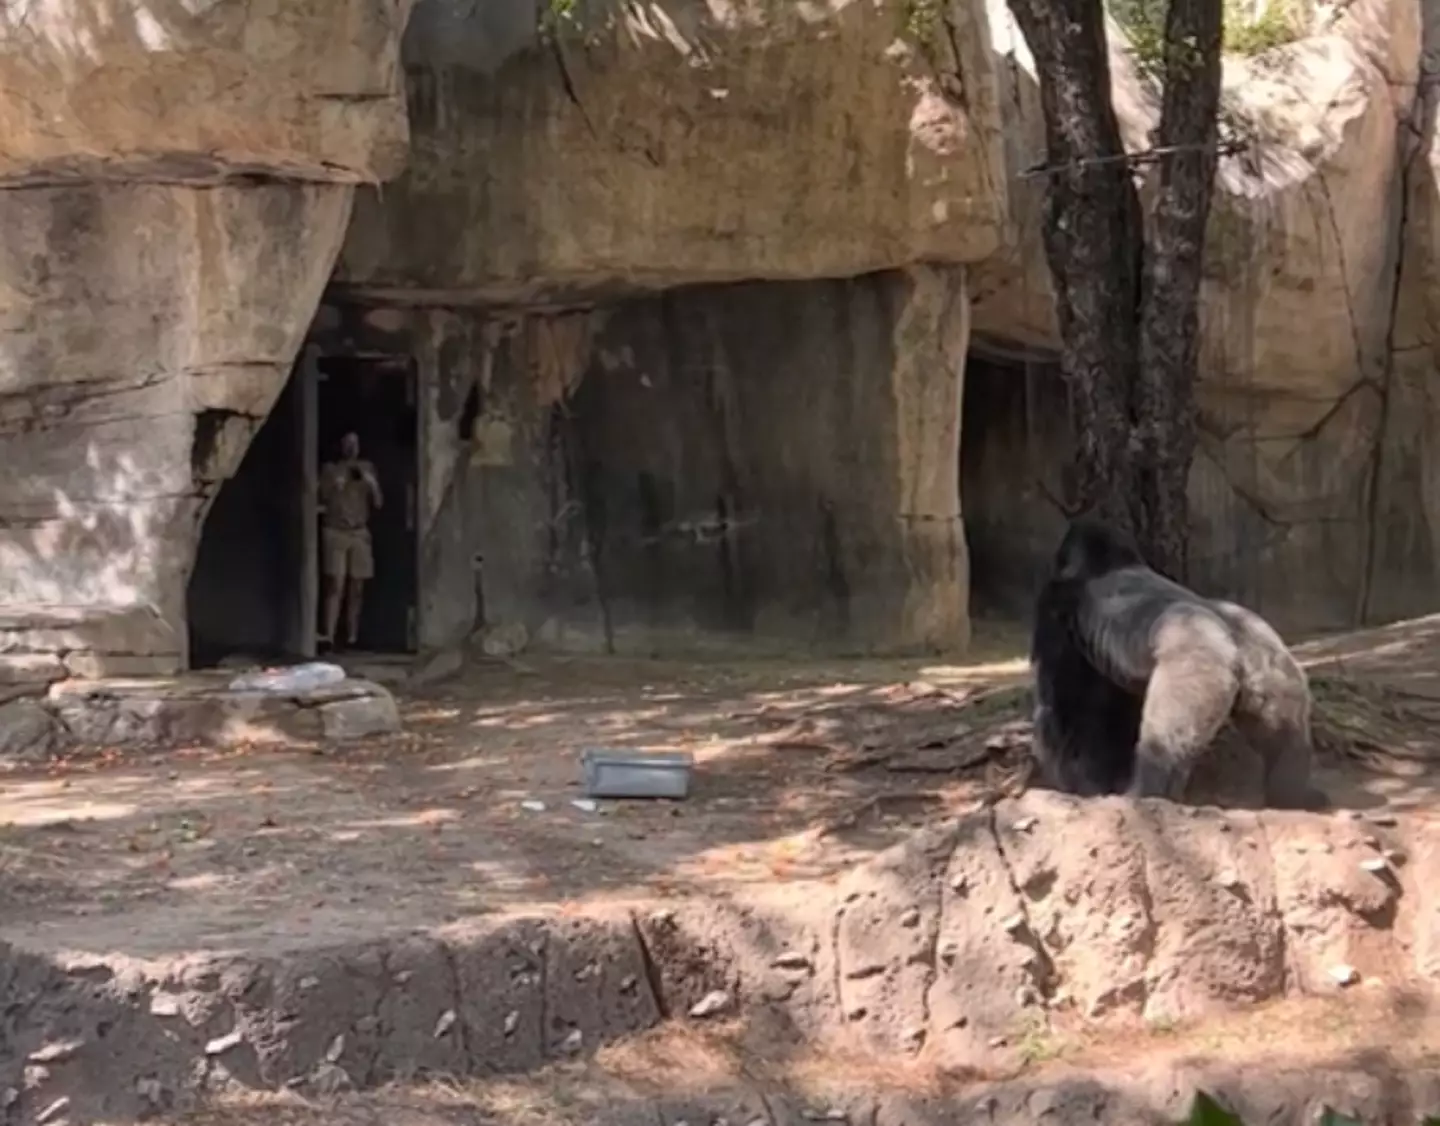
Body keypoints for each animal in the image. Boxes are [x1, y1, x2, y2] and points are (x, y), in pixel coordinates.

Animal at [1029, 517, 1324, 810]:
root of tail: (1236, 641)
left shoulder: (1057, 604)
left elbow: (1065, 705)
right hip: (1274, 667)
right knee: (1287, 737)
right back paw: (1291, 796)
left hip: (1198, 668)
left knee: (1164, 742)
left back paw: (1144, 794)